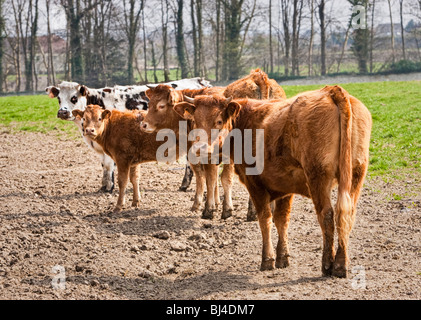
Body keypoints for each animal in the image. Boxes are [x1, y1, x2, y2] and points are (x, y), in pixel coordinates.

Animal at [46, 77, 212, 192]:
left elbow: (109, 164)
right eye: (59, 98)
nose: (62, 112)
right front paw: (104, 186)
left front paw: (109, 188)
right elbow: (104, 165)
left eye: (74, 98)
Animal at [173, 85, 370, 278]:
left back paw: (328, 264)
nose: (200, 149)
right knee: (346, 214)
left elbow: (265, 219)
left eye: (219, 121)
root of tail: (331, 91)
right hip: (356, 174)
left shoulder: (255, 184)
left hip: (318, 177)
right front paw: (283, 257)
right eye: (195, 121)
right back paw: (341, 264)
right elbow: (281, 220)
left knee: (327, 214)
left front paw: (267, 259)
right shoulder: (285, 184)